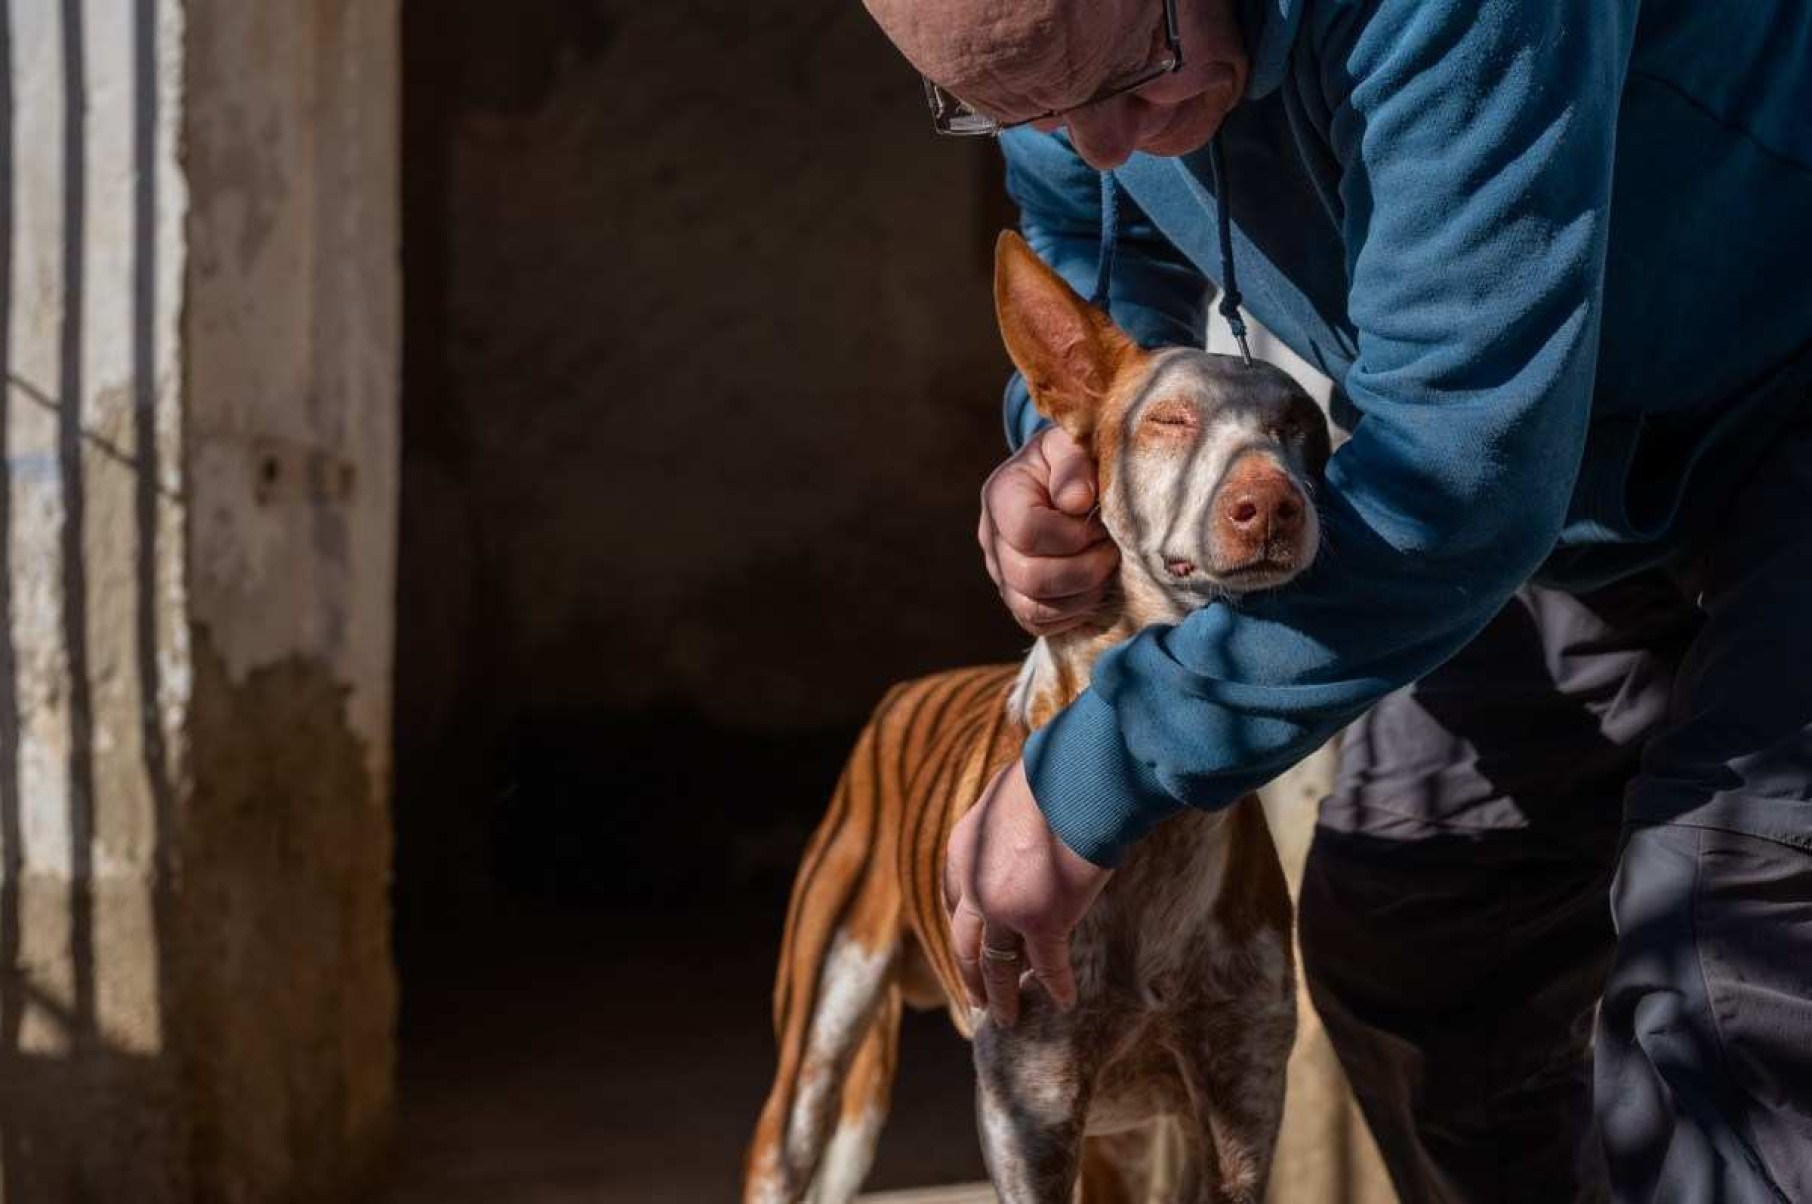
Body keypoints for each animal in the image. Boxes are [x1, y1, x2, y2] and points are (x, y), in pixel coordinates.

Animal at [746, 235, 1333, 1204]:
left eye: (1298, 430)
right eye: (1170, 420)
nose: (1273, 505)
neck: (1149, 834)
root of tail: (908, 691)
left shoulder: (1239, 1101)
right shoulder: (1032, 1111)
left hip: (1124, 1139)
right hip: (817, 1056)